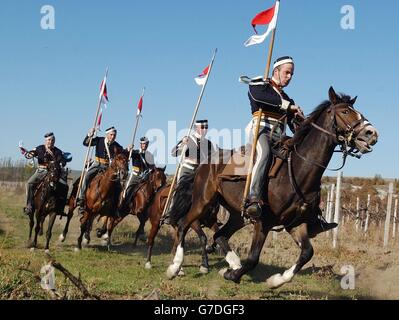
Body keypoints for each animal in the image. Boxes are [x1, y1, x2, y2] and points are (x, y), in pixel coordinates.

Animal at [167, 87, 380, 288]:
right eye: (345, 111)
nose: (372, 134)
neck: (297, 170)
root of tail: (205, 162)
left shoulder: (295, 223)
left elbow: (307, 253)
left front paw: (276, 281)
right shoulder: (264, 222)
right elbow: (253, 258)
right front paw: (233, 275)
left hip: (237, 215)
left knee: (220, 234)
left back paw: (233, 263)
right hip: (202, 202)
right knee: (184, 224)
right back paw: (175, 267)